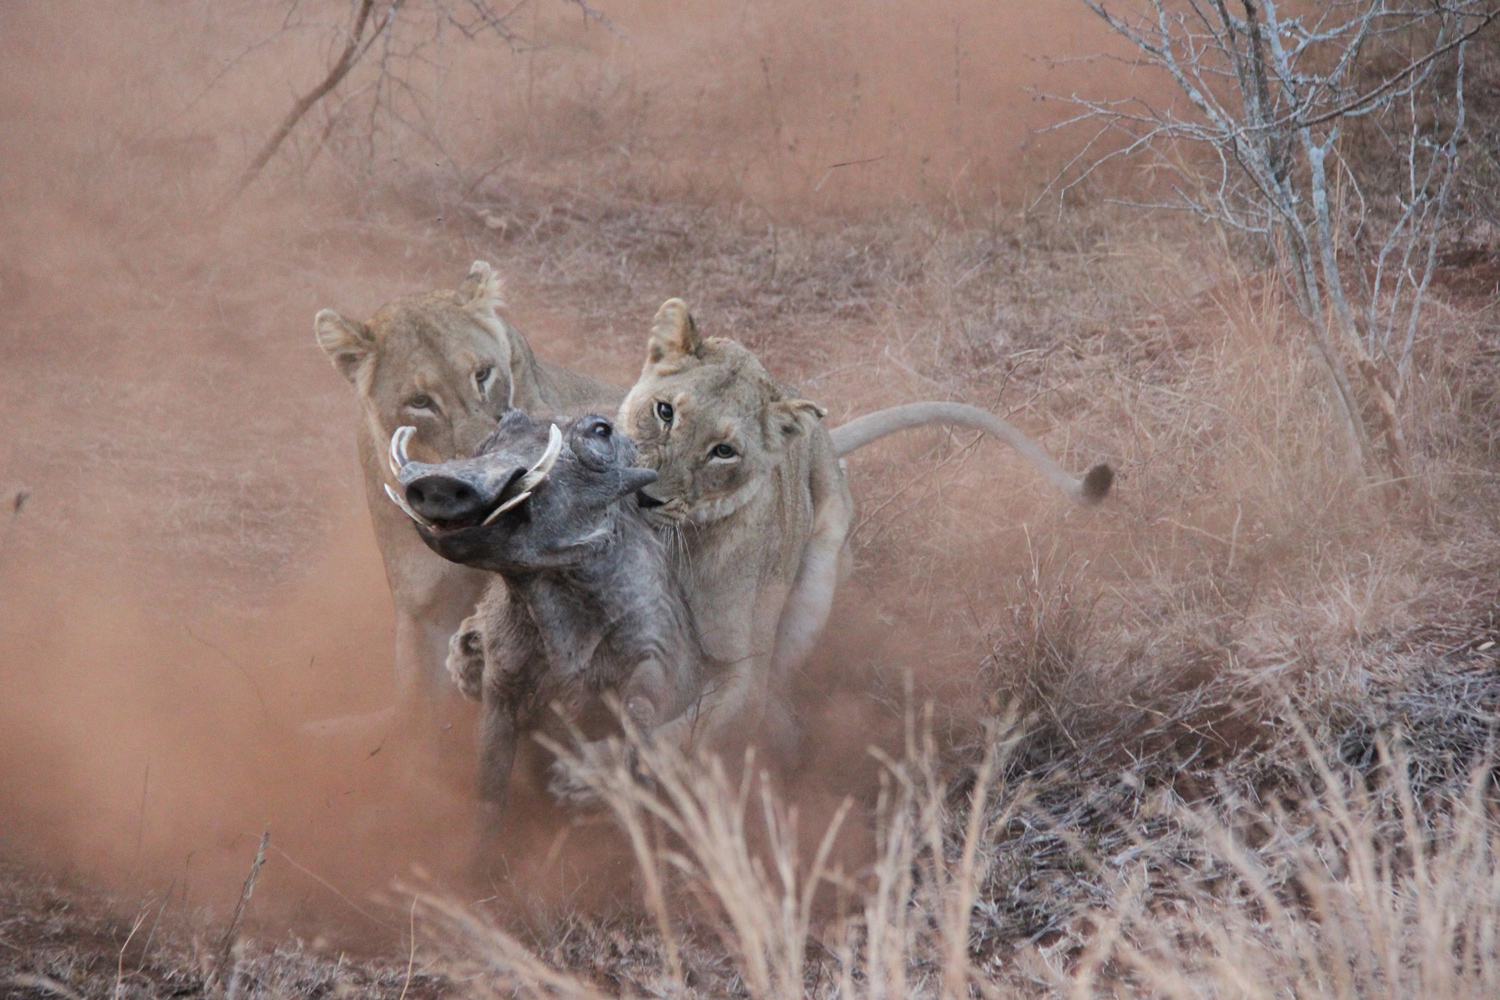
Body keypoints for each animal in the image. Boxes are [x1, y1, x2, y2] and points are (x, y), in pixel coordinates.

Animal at [615, 296, 1110, 758]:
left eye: (724, 451)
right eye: (664, 412)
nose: (647, 496)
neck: (676, 543)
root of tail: (825, 440)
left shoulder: (744, 669)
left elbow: (680, 734)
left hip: (819, 574)